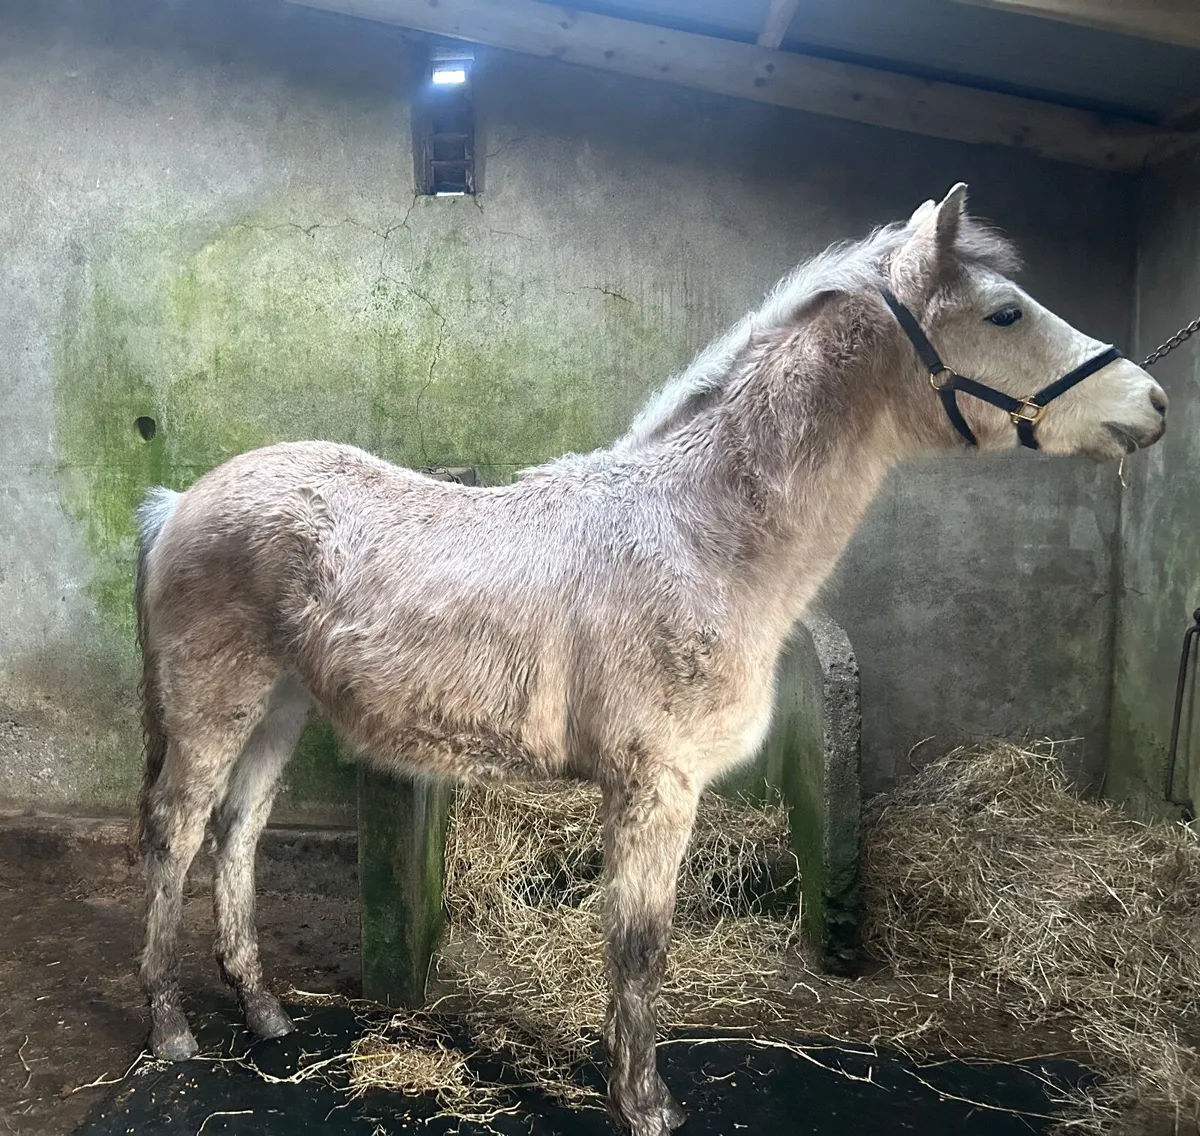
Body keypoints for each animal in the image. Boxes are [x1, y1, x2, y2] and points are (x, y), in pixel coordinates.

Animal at [130, 184, 1166, 1136]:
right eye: (1005, 313)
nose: (1152, 402)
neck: (700, 538)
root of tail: (180, 502)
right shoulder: (655, 786)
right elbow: (639, 946)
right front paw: (645, 1105)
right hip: (216, 699)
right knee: (177, 833)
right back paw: (171, 1026)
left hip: (281, 704)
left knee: (238, 832)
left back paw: (263, 1010)